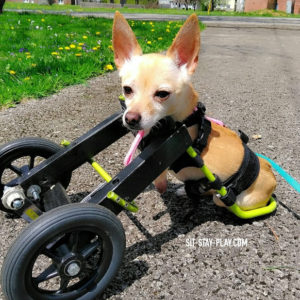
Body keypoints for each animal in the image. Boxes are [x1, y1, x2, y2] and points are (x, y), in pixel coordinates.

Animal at [112, 12, 276, 211]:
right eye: (127, 90)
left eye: (162, 94)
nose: (131, 118)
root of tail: (271, 175)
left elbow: (158, 178)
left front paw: (161, 186)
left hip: (236, 199)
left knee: (218, 197)